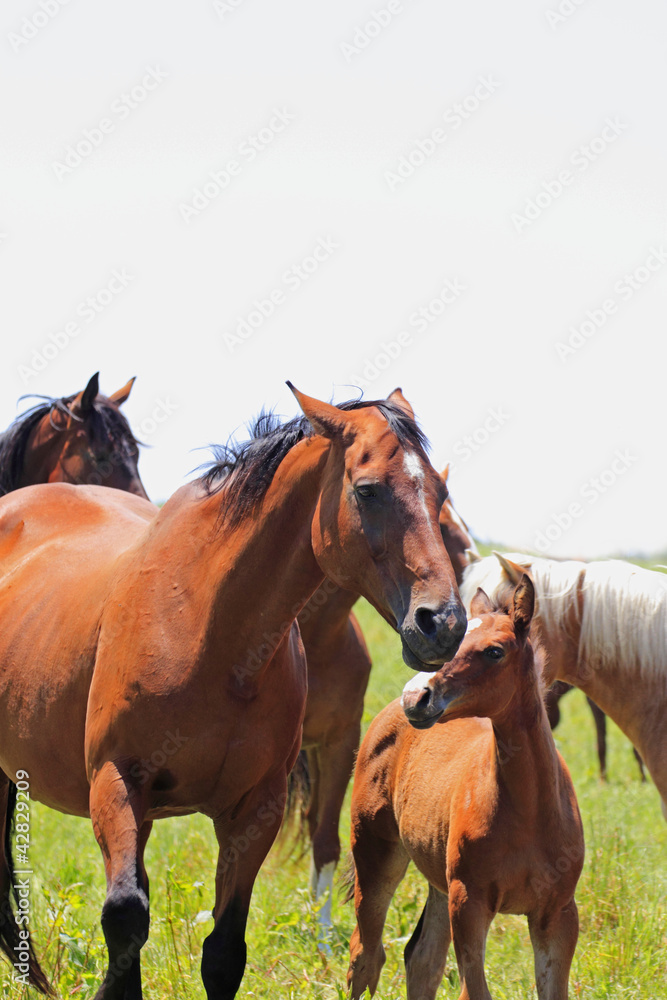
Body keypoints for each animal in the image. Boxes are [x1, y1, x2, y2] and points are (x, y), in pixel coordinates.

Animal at [294, 464, 477, 935]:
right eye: (446, 529)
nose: (449, 622)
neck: (315, 640)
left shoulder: (339, 743)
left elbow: (325, 840)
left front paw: (322, 935)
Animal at [346, 576, 584, 1000]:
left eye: (494, 651)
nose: (417, 697)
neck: (530, 813)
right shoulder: (469, 904)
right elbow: (474, 990)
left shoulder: (557, 915)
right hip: (376, 856)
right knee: (365, 958)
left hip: (439, 880)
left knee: (421, 959)